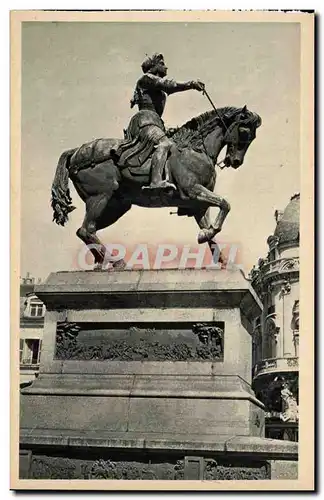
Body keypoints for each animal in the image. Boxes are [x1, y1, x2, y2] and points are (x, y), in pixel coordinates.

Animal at [52, 105, 262, 270]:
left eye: (253, 136)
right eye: (244, 131)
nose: (235, 161)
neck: (196, 149)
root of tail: (76, 152)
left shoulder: (198, 205)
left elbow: (211, 230)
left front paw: (220, 257)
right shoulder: (193, 191)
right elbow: (225, 204)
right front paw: (208, 234)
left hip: (116, 206)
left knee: (87, 230)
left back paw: (103, 263)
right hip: (101, 196)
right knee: (87, 229)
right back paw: (116, 262)